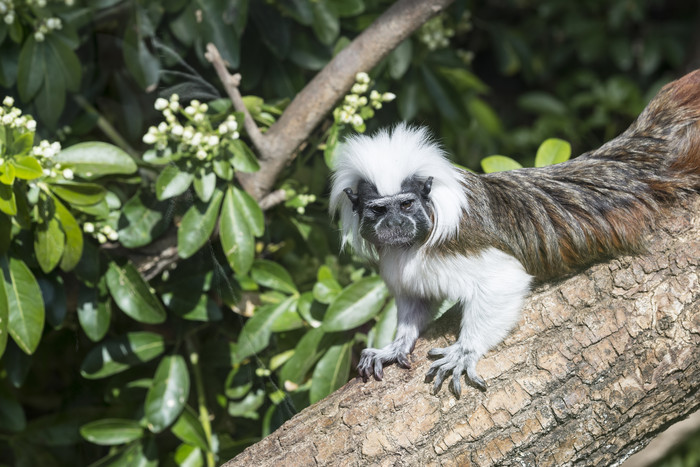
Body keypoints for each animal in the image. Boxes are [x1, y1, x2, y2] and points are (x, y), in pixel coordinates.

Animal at [330, 70, 700, 398]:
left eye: (406, 205)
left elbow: (504, 279)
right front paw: (396, 345)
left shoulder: (456, 246)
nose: (394, 224)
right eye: (379, 210)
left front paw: (465, 351)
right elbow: (416, 301)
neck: (413, 244)